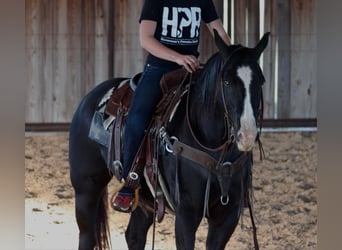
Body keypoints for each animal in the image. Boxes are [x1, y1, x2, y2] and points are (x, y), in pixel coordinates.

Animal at [69, 31, 270, 250]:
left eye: (261, 81)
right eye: (227, 82)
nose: (247, 135)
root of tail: (90, 98)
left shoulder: (228, 215)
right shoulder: (186, 214)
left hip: (146, 200)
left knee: (134, 234)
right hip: (86, 188)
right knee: (87, 235)